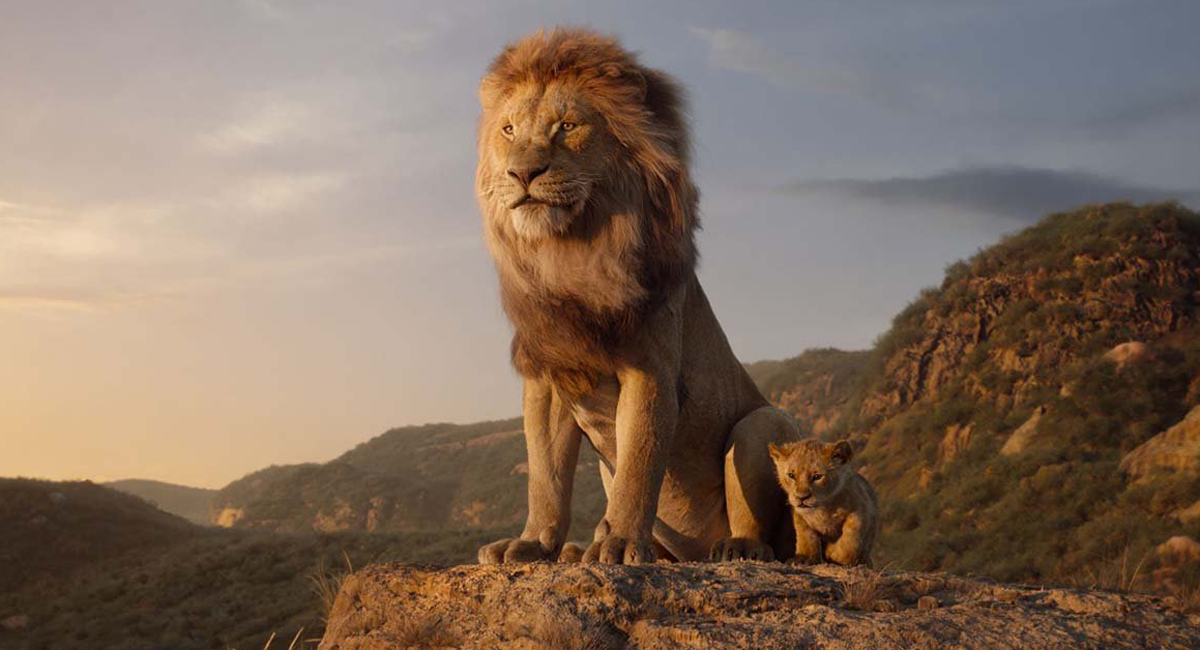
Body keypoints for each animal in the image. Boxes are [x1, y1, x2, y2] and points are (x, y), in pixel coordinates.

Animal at [474, 28, 801, 565]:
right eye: (508, 130)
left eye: (567, 126)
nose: (522, 174)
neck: (570, 254)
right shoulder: (548, 376)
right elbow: (545, 476)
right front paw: (533, 542)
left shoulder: (650, 369)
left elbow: (639, 464)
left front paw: (622, 542)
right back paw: (578, 549)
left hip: (762, 423)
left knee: (765, 531)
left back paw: (736, 548)